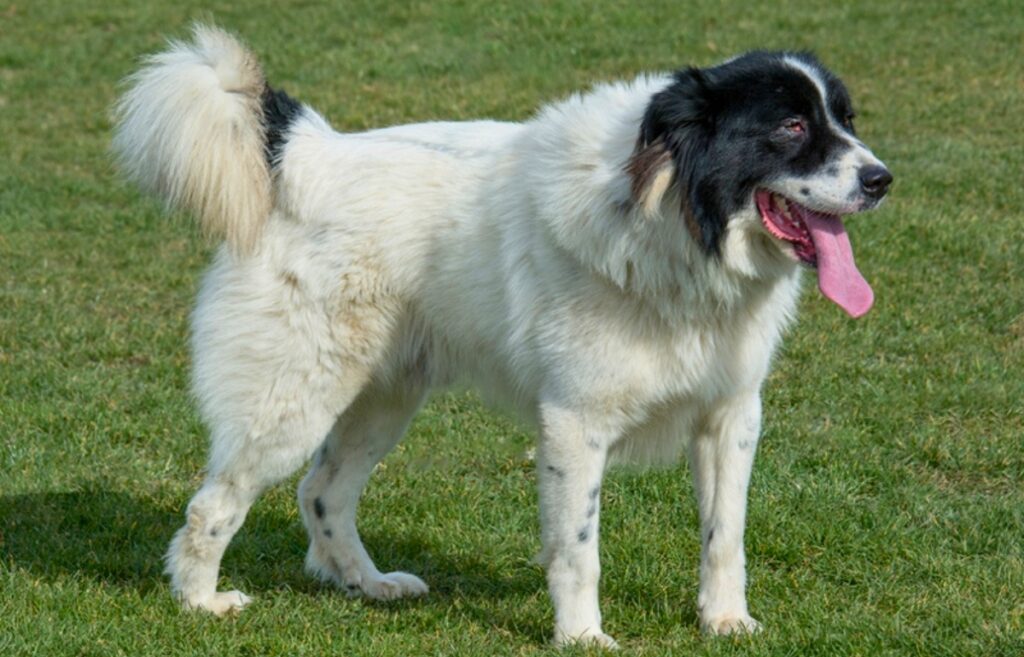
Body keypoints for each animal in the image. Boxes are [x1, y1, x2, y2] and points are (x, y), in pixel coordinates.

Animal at [114, 24, 888, 646]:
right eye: (791, 128)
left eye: (845, 120)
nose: (882, 178)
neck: (673, 221)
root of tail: (305, 155)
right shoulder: (576, 423)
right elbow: (578, 546)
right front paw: (582, 637)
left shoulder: (731, 415)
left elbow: (725, 534)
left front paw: (726, 622)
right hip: (294, 399)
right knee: (215, 503)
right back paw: (201, 601)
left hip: (382, 399)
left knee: (323, 491)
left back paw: (368, 584)